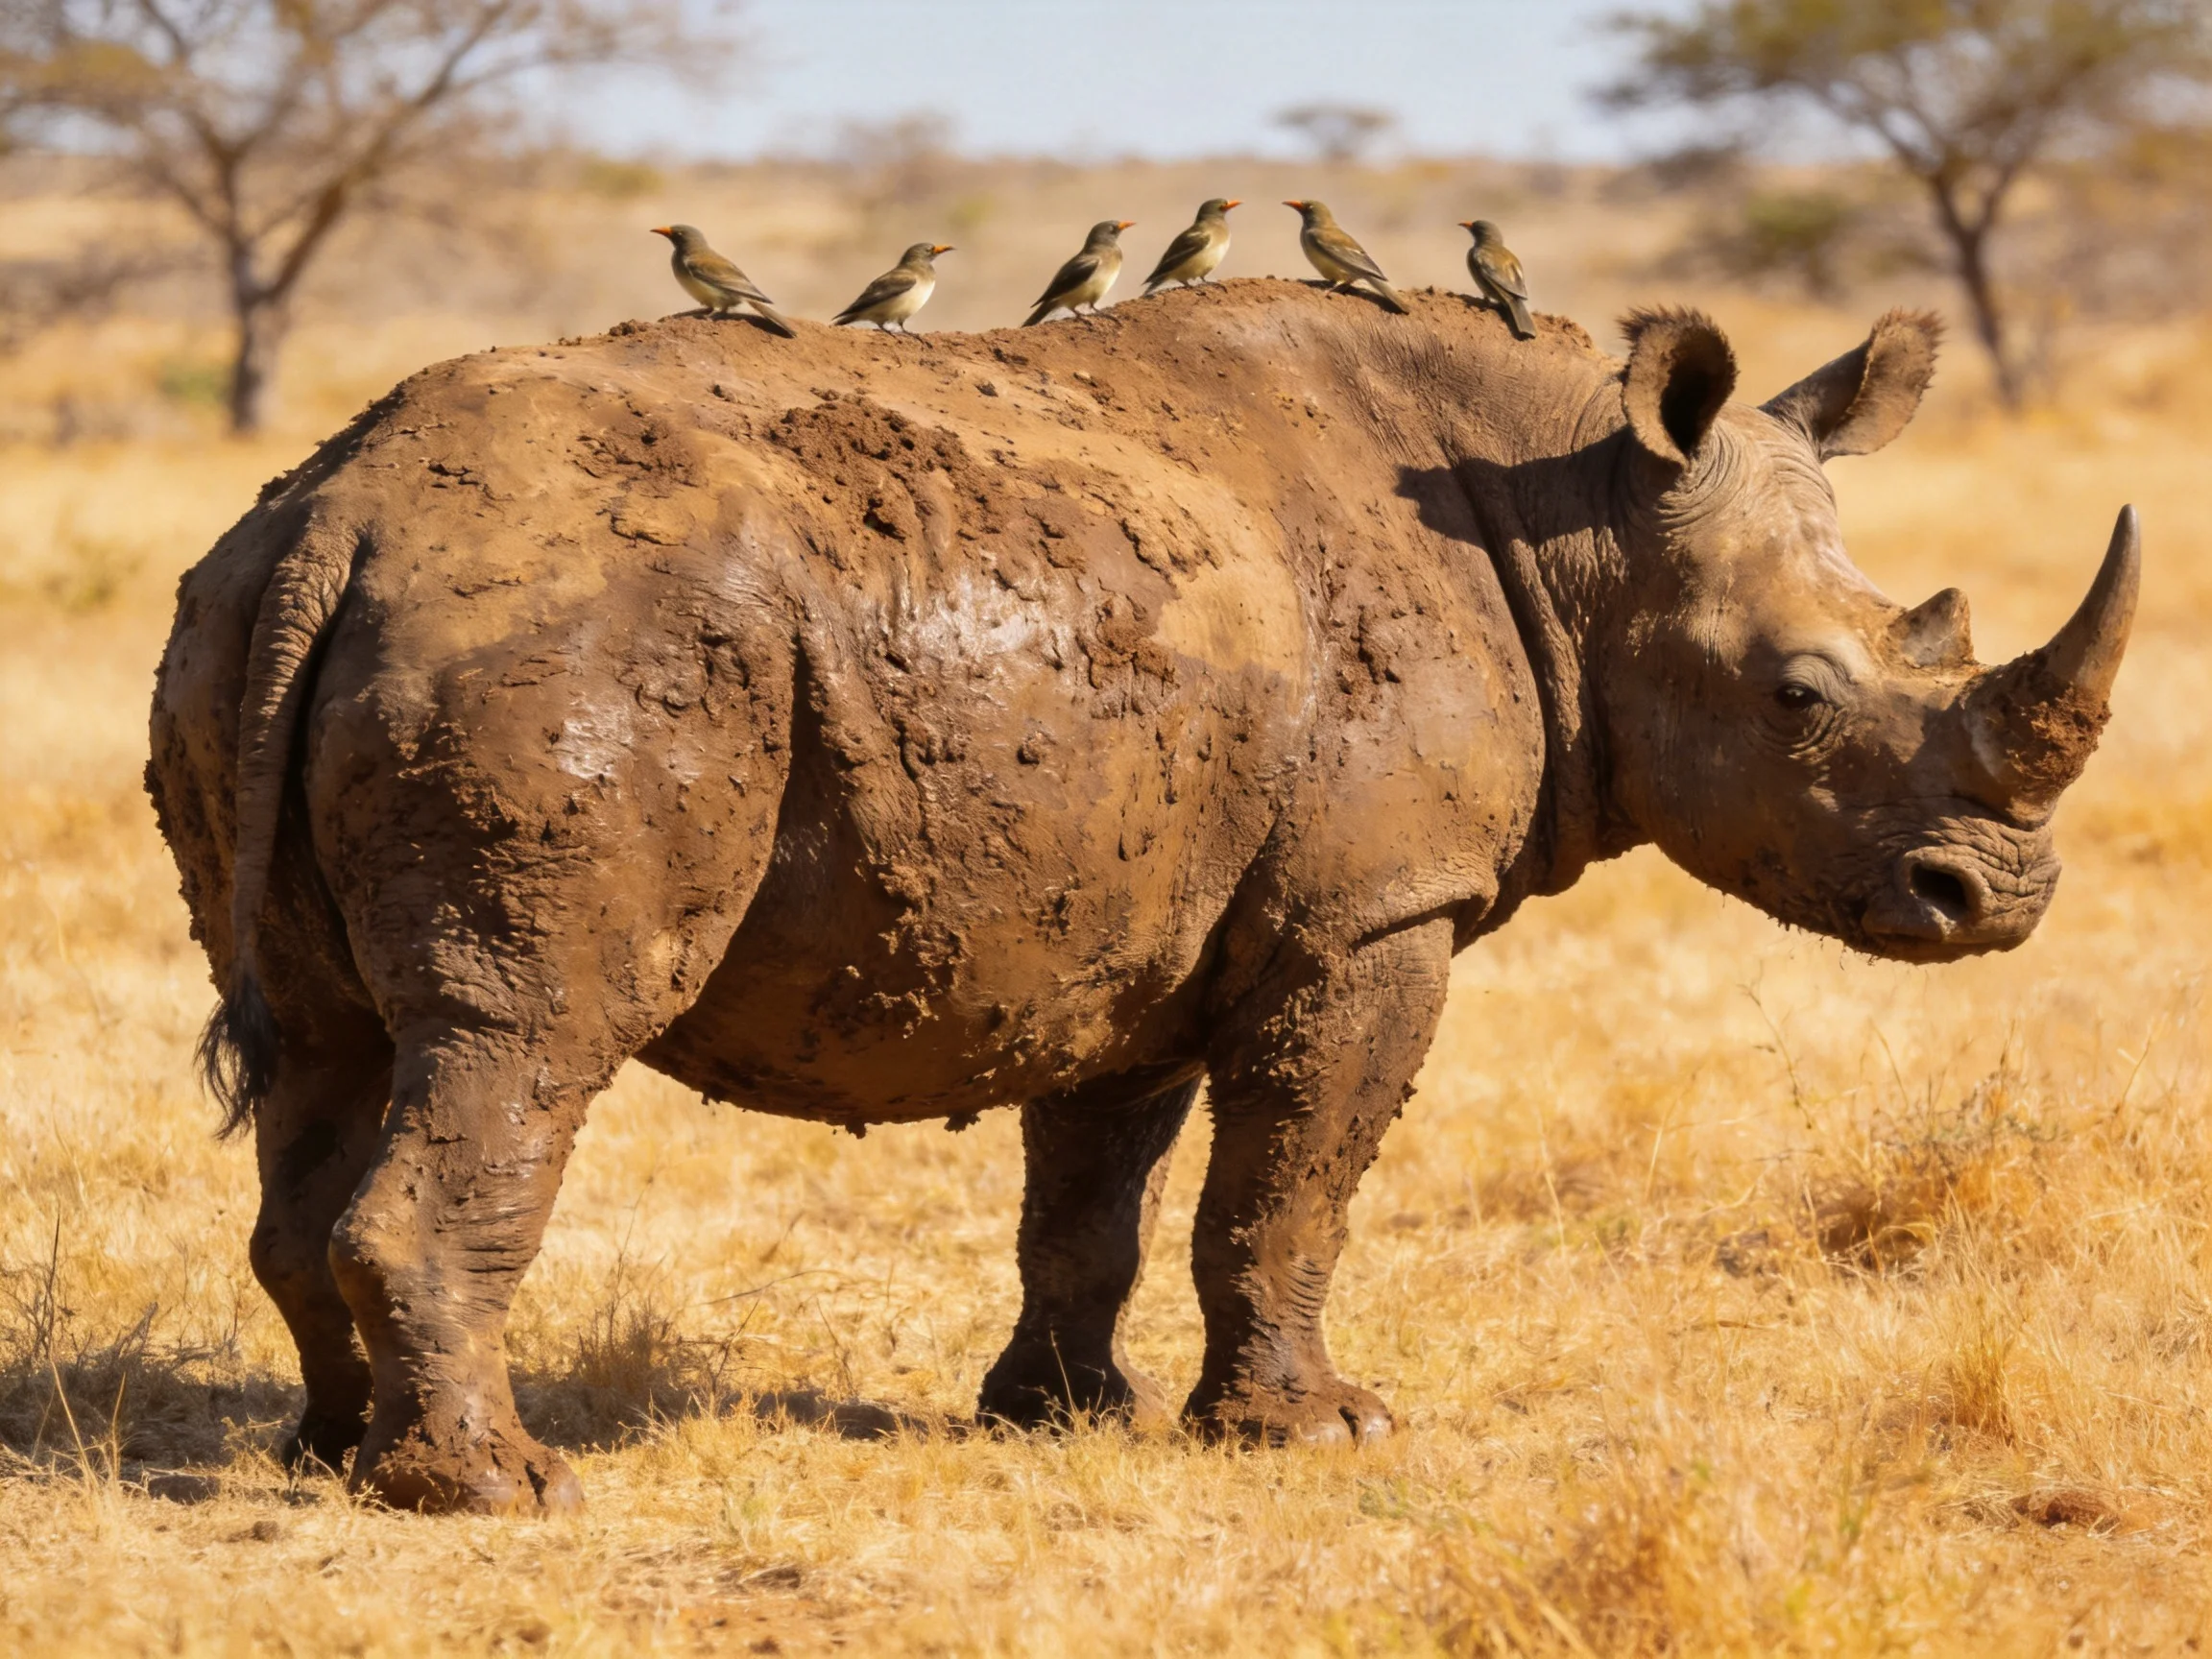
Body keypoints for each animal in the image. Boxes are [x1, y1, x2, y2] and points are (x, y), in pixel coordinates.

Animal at [147, 280, 2137, 1513]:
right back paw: (500, 1488)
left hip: (257, 605)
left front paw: (1055, 1413)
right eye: (1800, 695)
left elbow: (1092, 1195)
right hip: (570, 644)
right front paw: (1320, 1431)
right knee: (525, 1030)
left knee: (326, 1044)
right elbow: (1291, 1184)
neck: (1580, 525)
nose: (1997, 896)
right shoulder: (1369, 913)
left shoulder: (1129, 909)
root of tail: (350, 511)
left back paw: (326, 1459)